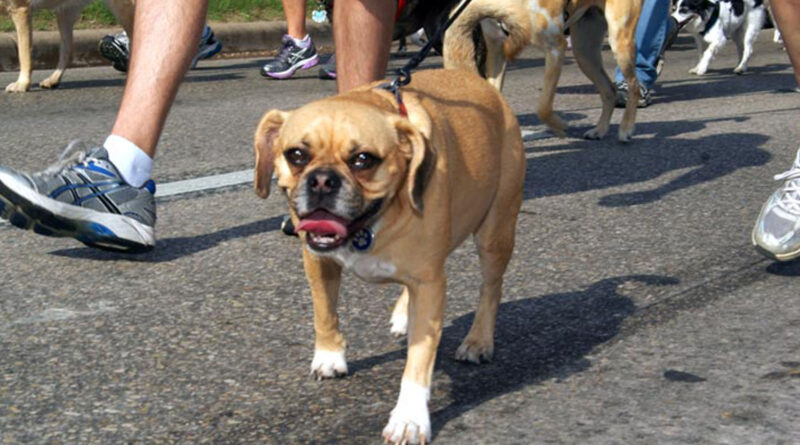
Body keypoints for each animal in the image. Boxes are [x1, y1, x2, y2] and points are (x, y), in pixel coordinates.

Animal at [0, 0, 135, 92]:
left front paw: (22, 84)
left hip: (122, 9)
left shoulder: (21, 10)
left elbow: (24, 54)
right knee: (67, 51)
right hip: (65, 15)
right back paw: (53, 79)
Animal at [252, 67, 524, 442]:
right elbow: (324, 313)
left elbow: (419, 360)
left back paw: (478, 340)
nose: (322, 180)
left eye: (363, 160)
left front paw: (410, 418)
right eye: (296, 155)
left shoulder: (429, 283)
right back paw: (403, 315)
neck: (372, 224)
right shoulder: (319, 262)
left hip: (494, 234)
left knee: (491, 289)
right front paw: (329, 356)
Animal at [444, 0, 644, 142]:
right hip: (584, 52)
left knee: (634, 86)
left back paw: (626, 129)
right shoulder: (497, 49)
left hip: (618, 39)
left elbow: (543, 108)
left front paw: (560, 126)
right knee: (609, 90)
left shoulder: (556, 48)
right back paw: (600, 130)